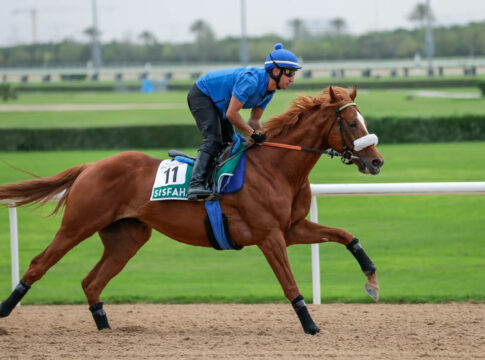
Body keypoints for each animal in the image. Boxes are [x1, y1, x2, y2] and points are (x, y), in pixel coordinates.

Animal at [1, 86, 384, 334]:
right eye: (352, 124)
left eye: (364, 121)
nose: (377, 161)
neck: (276, 166)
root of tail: (90, 165)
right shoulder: (269, 235)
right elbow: (289, 282)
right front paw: (310, 325)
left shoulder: (292, 228)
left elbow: (346, 236)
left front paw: (372, 280)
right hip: (77, 225)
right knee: (38, 264)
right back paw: (6, 310)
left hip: (127, 237)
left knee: (91, 282)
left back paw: (105, 326)